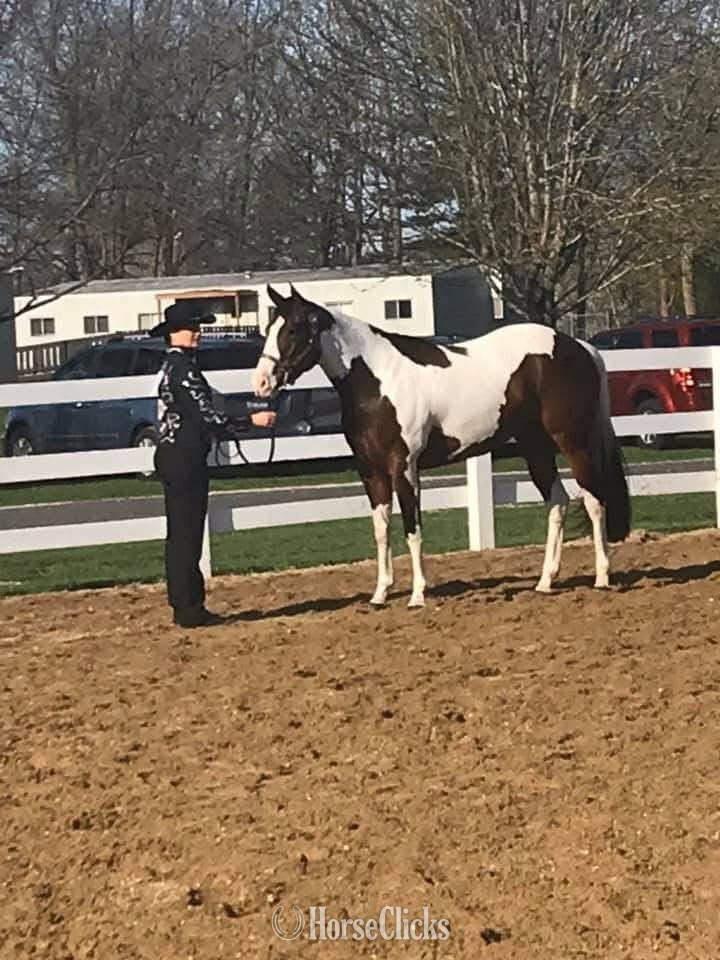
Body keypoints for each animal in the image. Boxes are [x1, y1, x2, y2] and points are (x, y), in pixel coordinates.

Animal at [252, 284, 630, 608]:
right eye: (270, 327)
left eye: (293, 329)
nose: (261, 383)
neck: (378, 380)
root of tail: (579, 347)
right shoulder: (370, 471)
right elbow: (381, 530)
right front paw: (380, 594)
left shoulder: (403, 467)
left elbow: (412, 528)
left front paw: (418, 595)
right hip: (535, 446)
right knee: (558, 502)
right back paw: (545, 581)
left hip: (573, 442)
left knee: (594, 500)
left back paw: (602, 576)